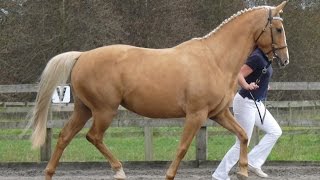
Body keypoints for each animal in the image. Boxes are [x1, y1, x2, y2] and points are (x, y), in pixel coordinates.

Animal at [28, 1, 290, 180]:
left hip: (84, 109)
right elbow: (182, 148)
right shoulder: (196, 115)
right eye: (278, 29)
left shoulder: (218, 113)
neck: (215, 59)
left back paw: (49, 173)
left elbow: (243, 135)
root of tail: (82, 56)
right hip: (104, 110)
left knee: (64, 137)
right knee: (93, 136)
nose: (285, 59)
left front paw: (244, 171)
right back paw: (119, 170)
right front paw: (169, 175)